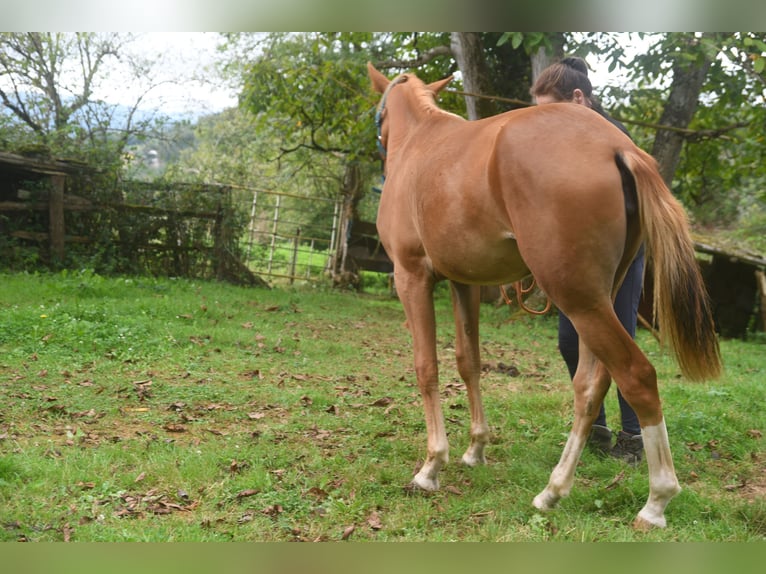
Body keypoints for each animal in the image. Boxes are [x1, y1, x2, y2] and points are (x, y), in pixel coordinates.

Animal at [367, 62, 721, 530]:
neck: (422, 143)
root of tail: (617, 147)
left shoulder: (411, 277)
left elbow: (427, 367)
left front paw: (432, 466)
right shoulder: (466, 284)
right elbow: (469, 362)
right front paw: (476, 448)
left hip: (579, 300)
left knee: (637, 376)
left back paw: (657, 500)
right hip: (594, 300)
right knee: (590, 385)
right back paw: (553, 490)